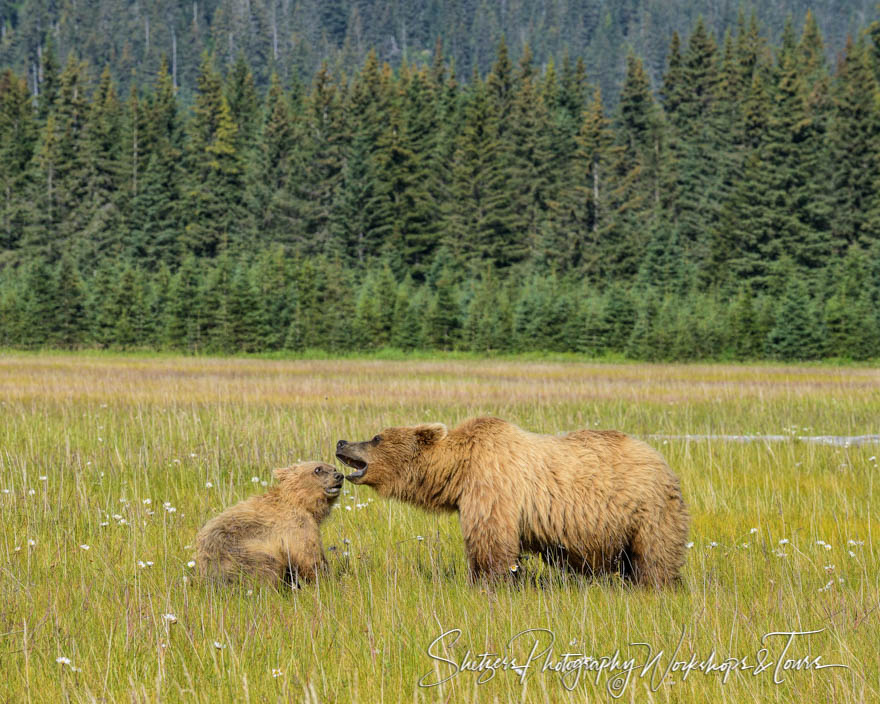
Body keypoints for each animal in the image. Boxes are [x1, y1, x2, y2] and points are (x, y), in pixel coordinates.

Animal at [336, 416, 688, 584]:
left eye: (376, 437)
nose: (341, 442)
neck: (459, 469)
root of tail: (663, 461)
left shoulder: (492, 489)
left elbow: (491, 543)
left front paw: (487, 582)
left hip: (646, 510)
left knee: (654, 558)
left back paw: (656, 586)